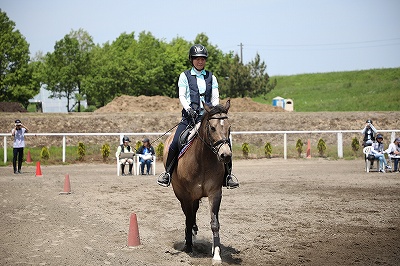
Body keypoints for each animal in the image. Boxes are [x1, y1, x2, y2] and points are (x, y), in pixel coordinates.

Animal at [162, 100, 231, 264]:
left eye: (229, 127)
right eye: (212, 127)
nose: (225, 155)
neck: (203, 160)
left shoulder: (215, 193)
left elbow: (214, 223)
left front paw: (216, 254)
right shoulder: (187, 196)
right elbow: (188, 218)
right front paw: (188, 247)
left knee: (194, 214)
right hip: (182, 195)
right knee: (189, 215)